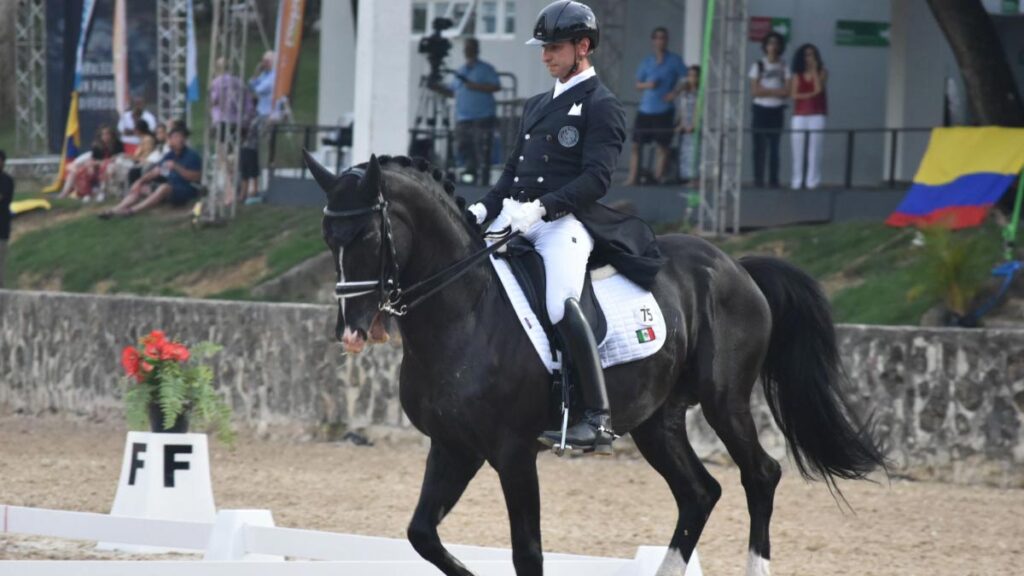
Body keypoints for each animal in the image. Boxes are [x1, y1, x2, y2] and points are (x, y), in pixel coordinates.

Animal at [305, 152, 888, 573]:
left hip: (725, 401)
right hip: (656, 419)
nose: (352, 331)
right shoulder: (454, 446)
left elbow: (527, 553)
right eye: (329, 237)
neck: (464, 311)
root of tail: (734, 265)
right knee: (699, 493)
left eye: (368, 235)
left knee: (760, 475)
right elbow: (422, 535)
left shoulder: (513, 452)